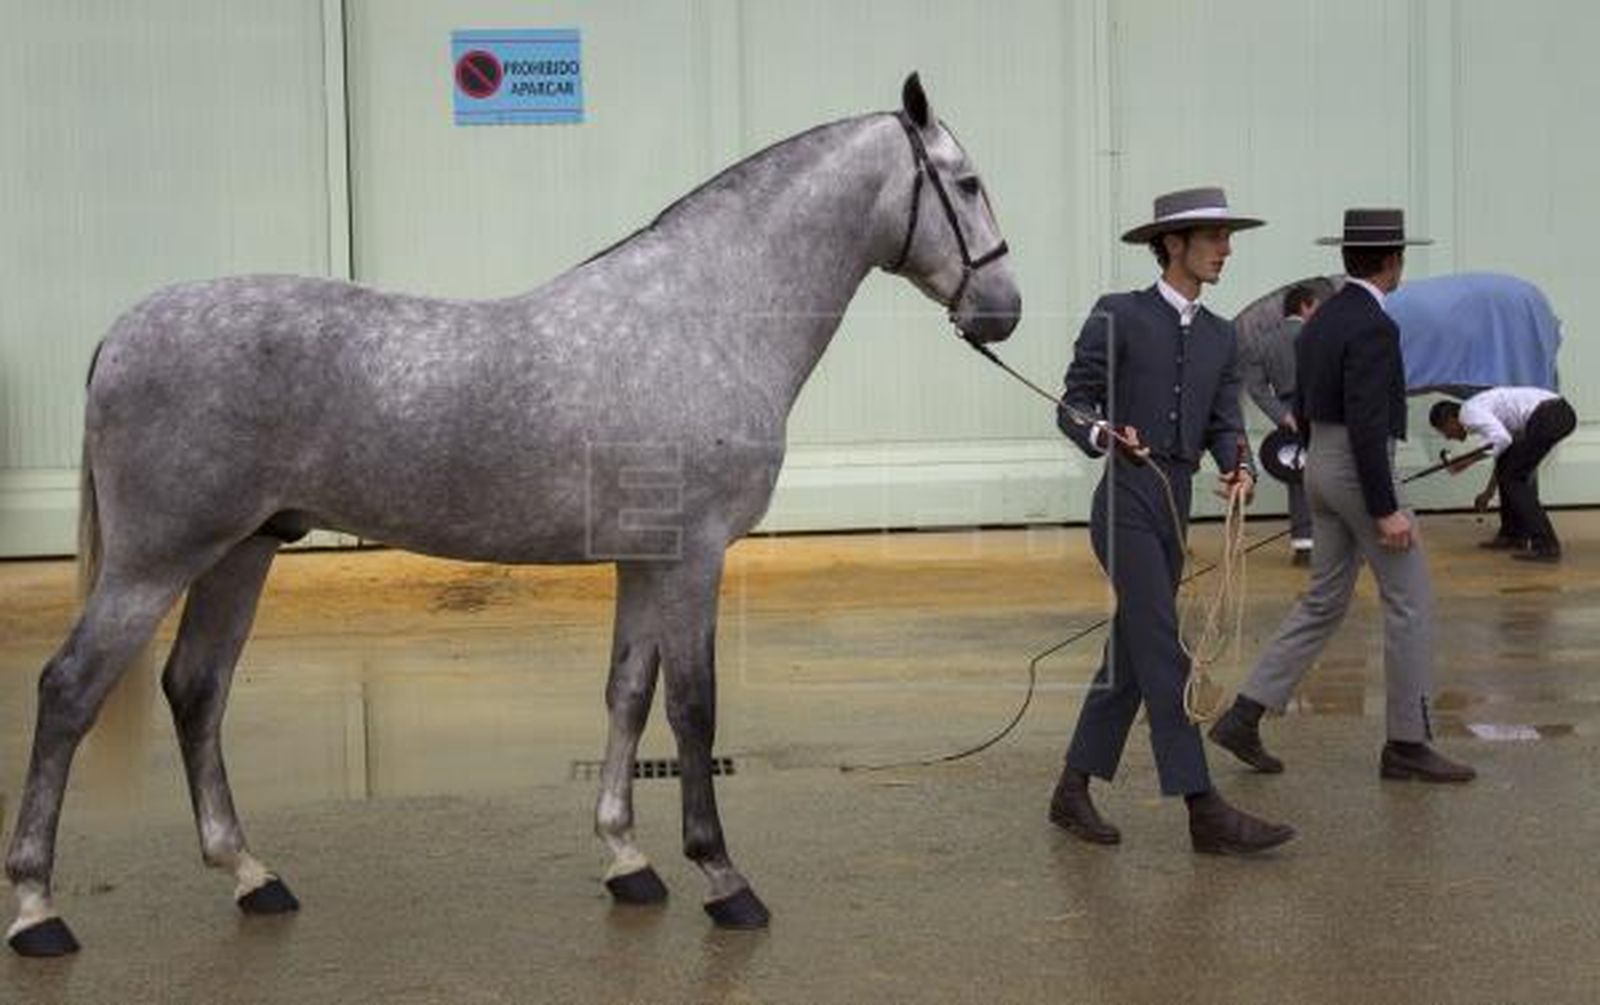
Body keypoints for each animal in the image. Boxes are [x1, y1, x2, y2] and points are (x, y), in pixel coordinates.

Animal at [5, 73, 1020, 956]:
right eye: (968, 181)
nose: (1003, 311)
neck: (701, 317)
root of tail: (124, 329)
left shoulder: (643, 562)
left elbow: (627, 694)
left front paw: (627, 859)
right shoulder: (693, 557)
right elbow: (693, 708)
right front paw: (723, 878)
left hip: (240, 552)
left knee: (196, 689)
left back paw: (252, 874)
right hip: (156, 562)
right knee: (69, 691)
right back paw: (37, 909)